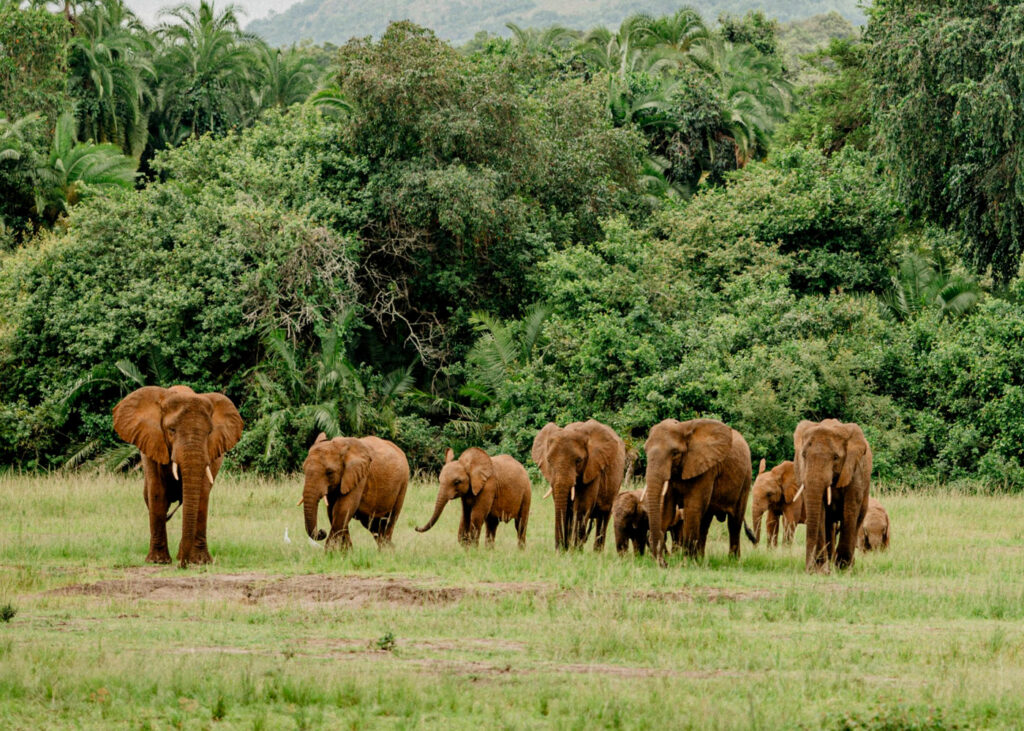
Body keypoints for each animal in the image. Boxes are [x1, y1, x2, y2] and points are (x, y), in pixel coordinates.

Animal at [112, 385, 243, 568]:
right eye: (171, 430)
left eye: (209, 432)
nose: (182, 564)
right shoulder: (152, 443)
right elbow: (157, 493)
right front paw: (158, 561)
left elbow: (202, 495)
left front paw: (201, 561)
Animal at [531, 419, 626, 551]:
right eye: (549, 461)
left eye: (578, 461)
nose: (559, 548)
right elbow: (564, 508)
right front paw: (565, 551)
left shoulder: (593, 468)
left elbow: (581, 507)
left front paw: (574, 551)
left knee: (603, 517)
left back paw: (597, 552)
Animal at [643, 418, 757, 566]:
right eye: (645, 450)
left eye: (675, 453)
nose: (664, 564)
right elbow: (667, 509)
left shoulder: (707, 469)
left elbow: (693, 508)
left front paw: (685, 563)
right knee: (705, 522)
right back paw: (700, 560)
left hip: (746, 479)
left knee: (734, 522)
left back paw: (733, 561)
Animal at [793, 419, 872, 572]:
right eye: (804, 455)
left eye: (836, 457)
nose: (808, 569)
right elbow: (820, 512)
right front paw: (821, 569)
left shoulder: (855, 471)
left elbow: (850, 510)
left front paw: (842, 567)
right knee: (828, 523)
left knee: (858, 520)